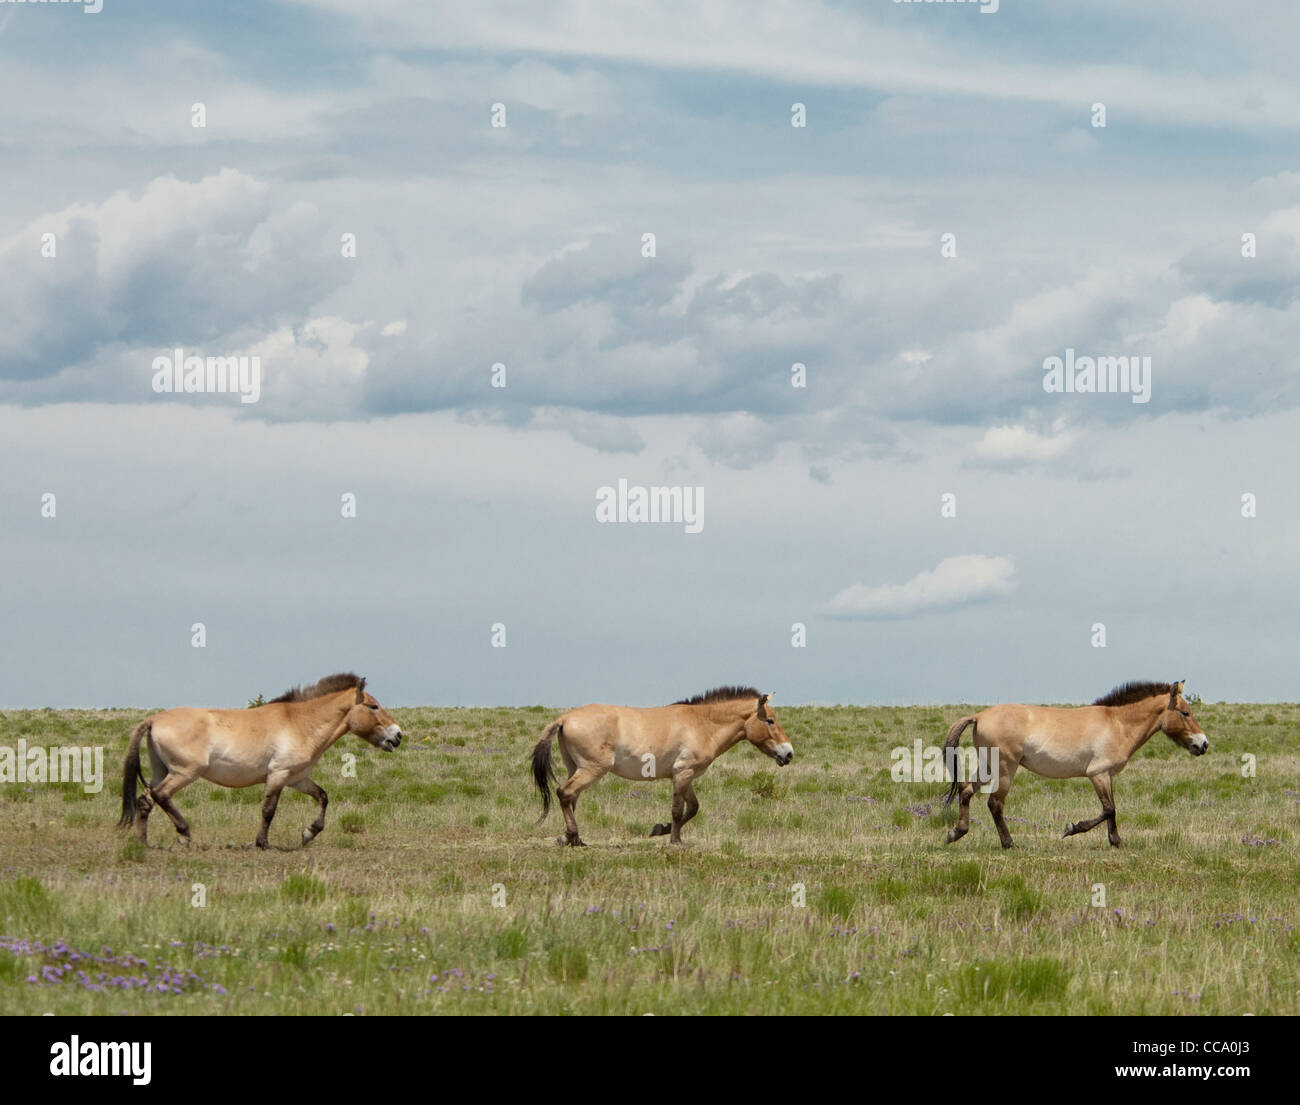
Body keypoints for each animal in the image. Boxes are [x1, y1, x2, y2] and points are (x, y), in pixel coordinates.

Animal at [118, 670, 400, 842]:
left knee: (145, 800)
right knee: (161, 795)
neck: (300, 723)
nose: (397, 735)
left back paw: (142, 840)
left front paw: (308, 833)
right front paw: (262, 842)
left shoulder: (297, 778)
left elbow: (323, 797)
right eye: (373, 706)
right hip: (184, 772)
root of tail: (154, 720)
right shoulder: (278, 775)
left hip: (162, 770)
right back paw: (184, 834)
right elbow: (268, 810)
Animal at [527, 681, 790, 842]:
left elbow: (693, 808)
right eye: (770, 721)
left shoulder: (686, 776)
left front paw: (661, 830)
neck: (702, 724)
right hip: (592, 769)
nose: (788, 753)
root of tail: (564, 718)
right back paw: (573, 837)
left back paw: (569, 838)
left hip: (576, 767)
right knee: (565, 793)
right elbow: (678, 810)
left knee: (571, 798)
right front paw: (674, 840)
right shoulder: (683, 774)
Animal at [946, 676, 1206, 847]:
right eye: (1185, 712)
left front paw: (1115, 841)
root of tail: (979, 716)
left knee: (966, 790)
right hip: (1004, 769)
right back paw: (1008, 843)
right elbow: (1109, 809)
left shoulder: (1106, 776)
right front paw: (1072, 829)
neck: (1117, 724)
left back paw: (956, 833)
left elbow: (1111, 810)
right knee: (995, 804)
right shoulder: (1098, 774)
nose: (1203, 744)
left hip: (988, 766)